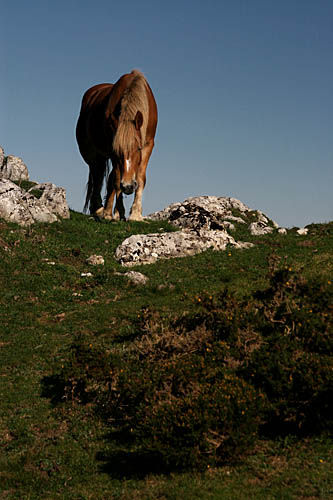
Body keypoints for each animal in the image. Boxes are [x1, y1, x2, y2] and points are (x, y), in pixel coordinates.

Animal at [76, 69, 157, 220]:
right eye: (116, 150)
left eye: (138, 148)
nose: (128, 187)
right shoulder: (111, 149)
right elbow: (116, 179)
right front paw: (113, 213)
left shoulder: (148, 144)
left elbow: (140, 178)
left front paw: (135, 214)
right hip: (91, 155)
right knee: (97, 177)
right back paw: (100, 209)